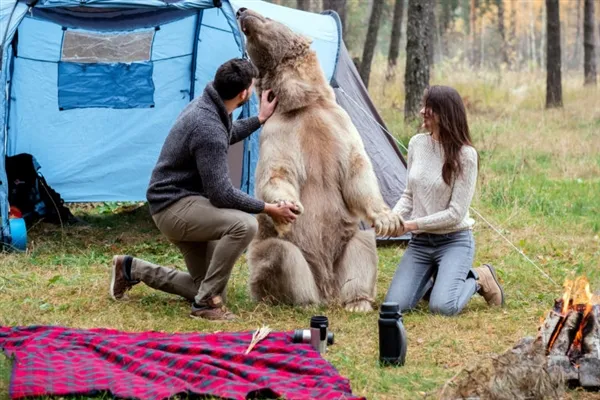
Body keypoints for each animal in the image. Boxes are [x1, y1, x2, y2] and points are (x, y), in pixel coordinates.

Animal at [236, 7, 404, 312]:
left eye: (267, 16)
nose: (242, 10)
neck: (302, 101)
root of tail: (327, 290)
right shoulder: (279, 131)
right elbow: (277, 172)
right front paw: (288, 205)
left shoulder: (338, 123)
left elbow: (357, 170)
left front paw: (388, 218)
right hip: (283, 254)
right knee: (280, 254)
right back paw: (302, 302)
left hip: (344, 245)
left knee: (362, 245)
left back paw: (357, 302)